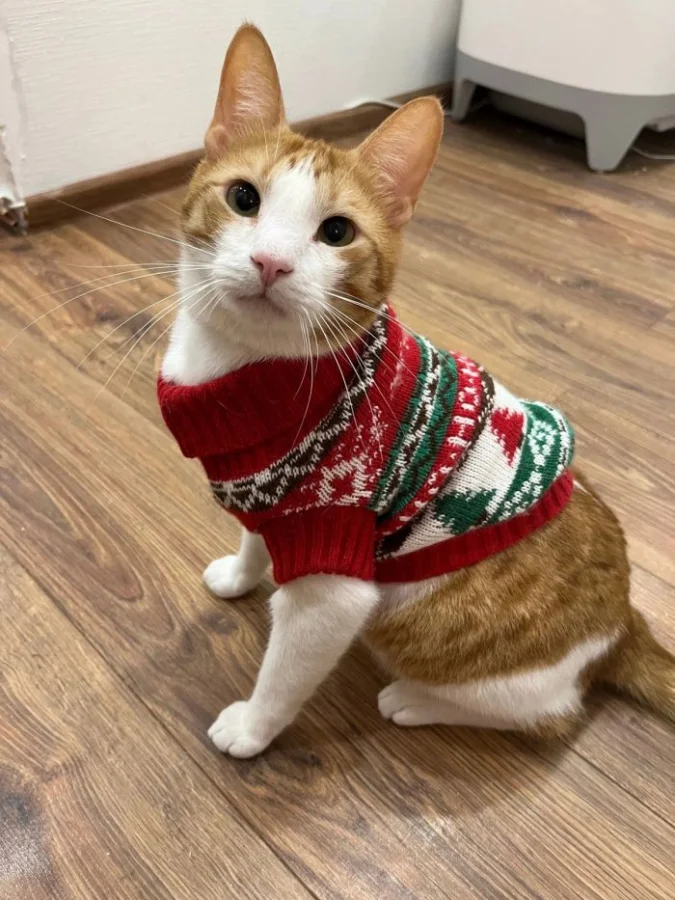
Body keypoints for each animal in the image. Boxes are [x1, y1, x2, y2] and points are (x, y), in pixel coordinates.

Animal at [159, 24, 675, 757]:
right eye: (243, 198)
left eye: (336, 232)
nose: (270, 262)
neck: (242, 368)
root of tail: (625, 624)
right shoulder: (275, 502)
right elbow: (257, 538)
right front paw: (241, 571)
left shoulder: (334, 567)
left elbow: (286, 672)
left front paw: (253, 728)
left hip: (428, 632)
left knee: (549, 715)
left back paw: (414, 700)